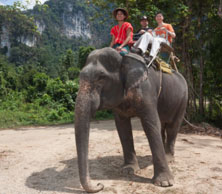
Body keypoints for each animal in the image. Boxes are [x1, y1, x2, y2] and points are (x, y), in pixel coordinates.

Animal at [74, 46, 187, 192]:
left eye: (101, 77)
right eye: (80, 76)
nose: (100, 185)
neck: (124, 57)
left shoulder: (146, 90)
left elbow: (151, 124)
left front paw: (165, 183)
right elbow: (122, 127)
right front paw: (128, 170)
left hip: (183, 100)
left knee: (173, 126)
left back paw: (169, 159)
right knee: (162, 126)